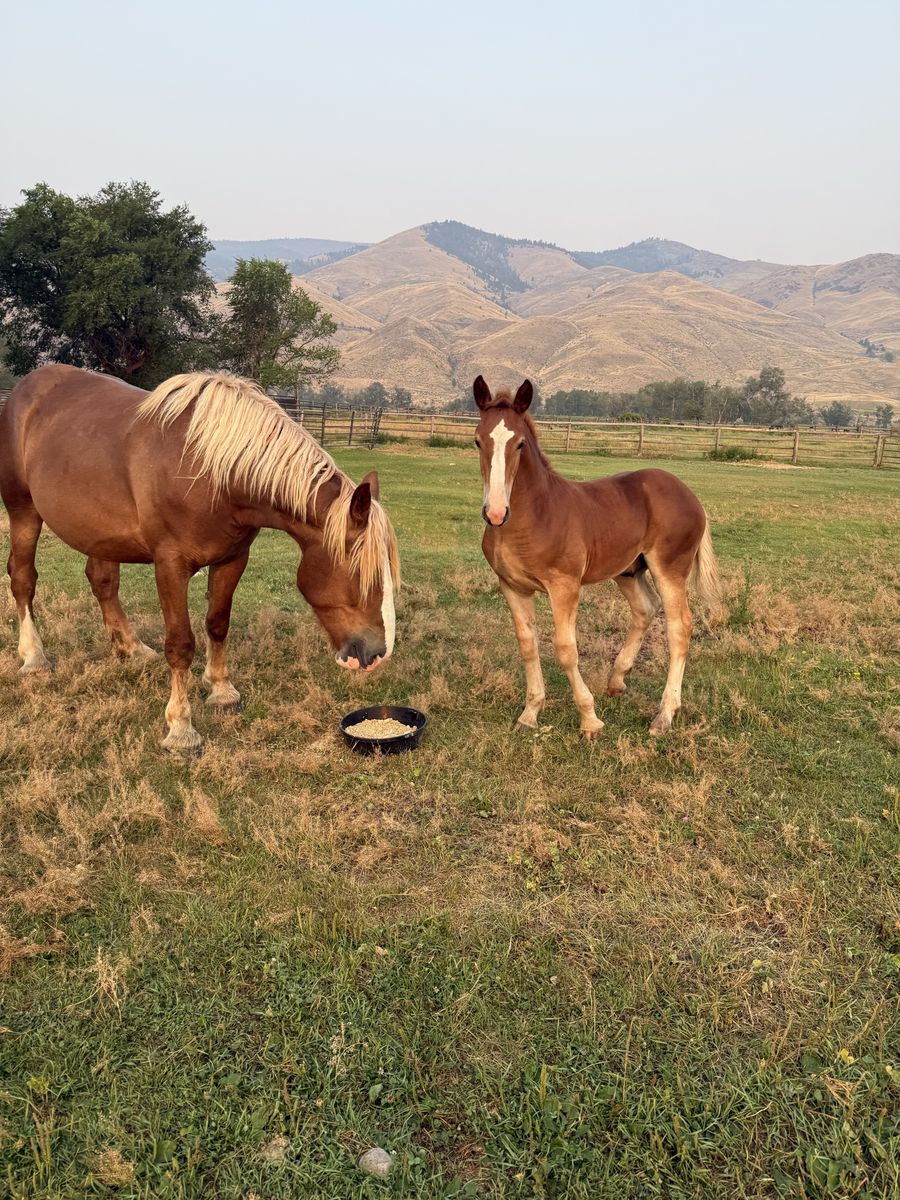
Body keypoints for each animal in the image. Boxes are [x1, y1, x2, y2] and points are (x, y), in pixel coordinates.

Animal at [0, 364, 399, 754]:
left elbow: (217, 623)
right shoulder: (170, 566)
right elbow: (180, 645)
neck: (210, 471)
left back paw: (131, 648)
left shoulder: (233, 558)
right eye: (362, 576)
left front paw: (222, 692)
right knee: (23, 579)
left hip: (98, 533)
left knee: (102, 582)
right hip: (23, 512)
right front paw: (181, 729)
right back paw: (34, 658)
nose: (377, 654)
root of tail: (26, 388)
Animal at [472, 375, 721, 738]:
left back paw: (664, 715)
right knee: (646, 609)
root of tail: (688, 493)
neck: (534, 514)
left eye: (519, 444)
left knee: (680, 628)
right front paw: (530, 713)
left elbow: (565, 650)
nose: (494, 512)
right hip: (629, 570)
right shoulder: (512, 586)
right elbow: (527, 644)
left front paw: (589, 719)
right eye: (477, 441)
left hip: (670, 568)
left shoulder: (565, 587)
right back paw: (617, 680)